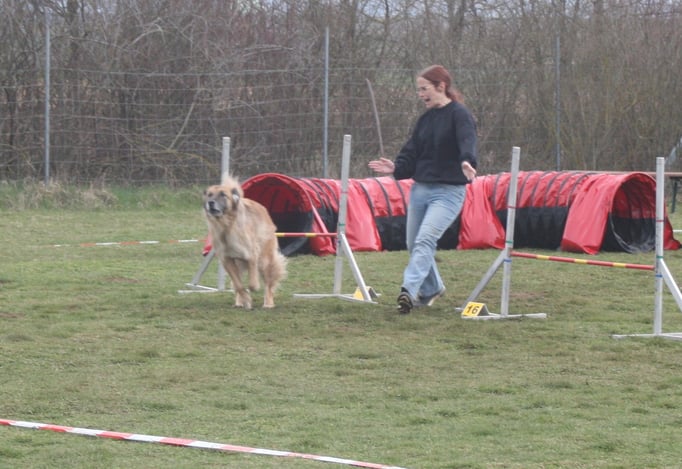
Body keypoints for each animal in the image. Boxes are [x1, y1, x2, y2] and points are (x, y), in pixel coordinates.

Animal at [203, 175, 286, 309]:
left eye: (223, 195)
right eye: (209, 195)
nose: (210, 203)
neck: (227, 226)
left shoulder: (251, 255)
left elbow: (251, 283)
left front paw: (254, 289)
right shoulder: (227, 260)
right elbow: (238, 285)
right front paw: (246, 299)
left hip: (264, 260)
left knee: (269, 283)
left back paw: (268, 303)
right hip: (238, 264)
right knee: (238, 283)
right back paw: (239, 302)